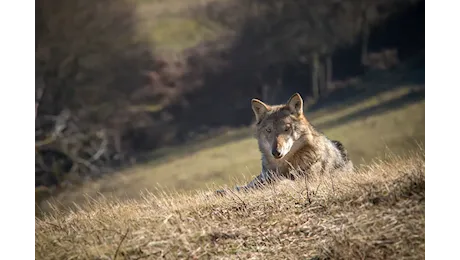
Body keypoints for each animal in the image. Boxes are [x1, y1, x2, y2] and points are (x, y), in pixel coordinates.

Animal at [217, 92, 354, 194]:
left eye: (286, 129)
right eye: (269, 130)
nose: (276, 152)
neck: (283, 166)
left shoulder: (309, 180)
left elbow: (284, 182)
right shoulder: (265, 178)